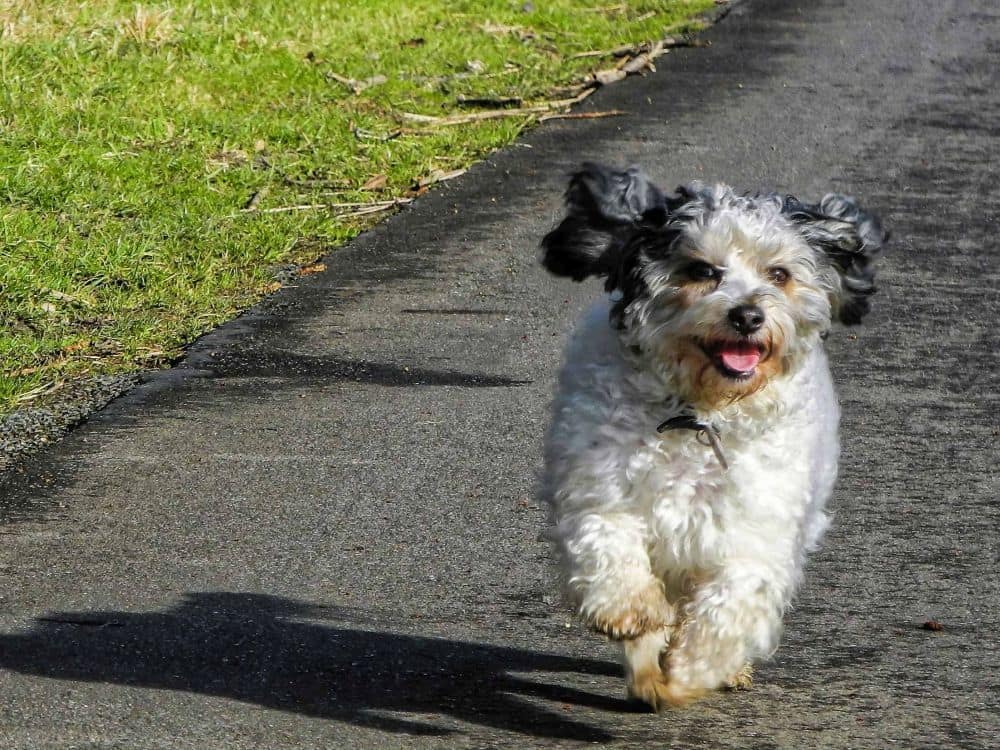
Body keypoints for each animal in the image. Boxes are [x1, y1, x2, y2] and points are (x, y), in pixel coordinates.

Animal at [540, 164, 884, 712]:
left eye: (779, 275)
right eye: (702, 271)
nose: (747, 315)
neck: (697, 417)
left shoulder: (755, 532)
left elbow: (731, 604)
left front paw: (690, 671)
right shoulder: (599, 492)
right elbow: (608, 546)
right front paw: (631, 611)